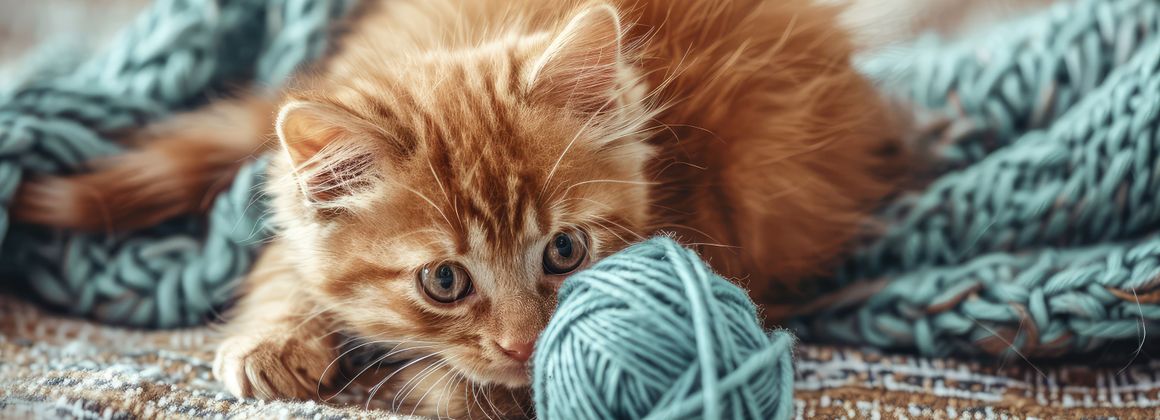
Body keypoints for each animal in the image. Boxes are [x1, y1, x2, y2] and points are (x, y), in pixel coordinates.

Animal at [13, 0, 904, 415]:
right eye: (443, 281)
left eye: (565, 253)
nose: (522, 345)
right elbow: (284, 266)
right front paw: (274, 338)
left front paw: (445, 381)